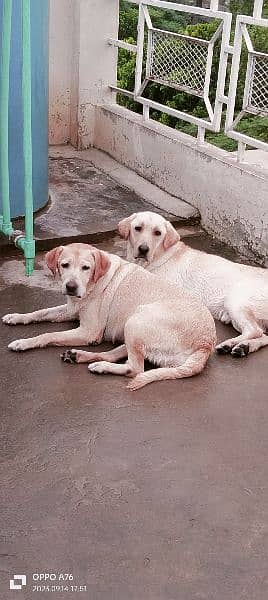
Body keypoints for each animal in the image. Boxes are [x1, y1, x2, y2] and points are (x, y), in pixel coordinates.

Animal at [2, 243, 216, 390]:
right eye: (64, 265)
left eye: (86, 268)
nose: (71, 287)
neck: (93, 283)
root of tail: (206, 344)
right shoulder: (70, 309)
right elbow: (40, 312)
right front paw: (17, 317)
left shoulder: (88, 332)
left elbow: (48, 335)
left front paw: (24, 342)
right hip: (131, 328)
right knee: (117, 354)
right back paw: (81, 357)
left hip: (136, 319)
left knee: (135, 368)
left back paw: (99, 365)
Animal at [118, 211, 268, 356]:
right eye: (138, 228)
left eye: (158, 233)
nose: (143, 249)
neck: (159, 256)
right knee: (262, 335)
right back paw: (243, 347)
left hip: (235, 302)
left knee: (254, 330)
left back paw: (230, 343)